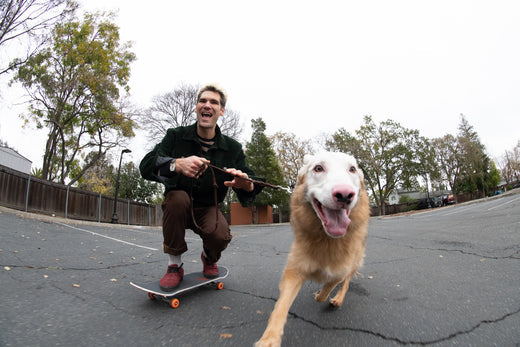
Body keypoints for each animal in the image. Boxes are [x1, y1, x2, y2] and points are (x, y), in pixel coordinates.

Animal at [256, 152, 370, 347]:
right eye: (318, 168)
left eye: (352, 169)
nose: (345, 194)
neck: (327, 239)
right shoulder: (294, 271)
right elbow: (281, 306)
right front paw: (269, 339)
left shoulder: (340, 270)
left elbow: (330, 285)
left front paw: (321, 295)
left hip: (354, 261)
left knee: (346, 282)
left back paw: (337, 299)